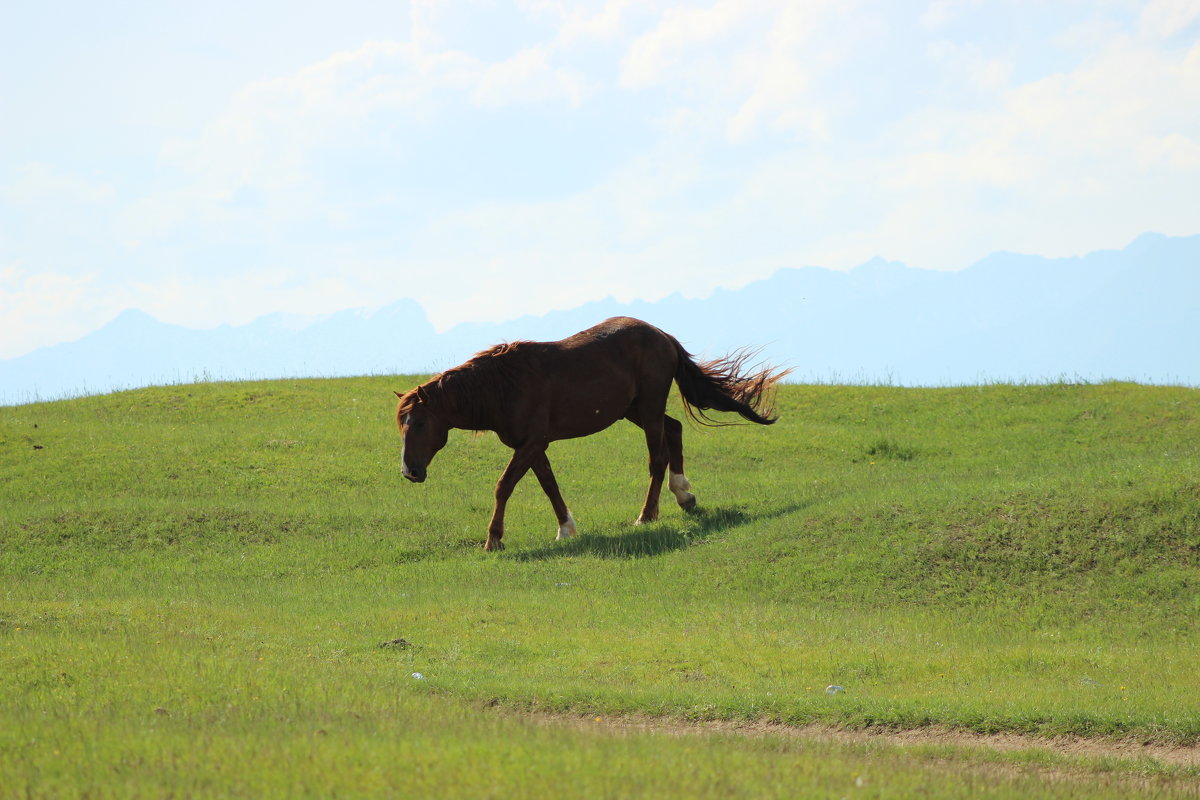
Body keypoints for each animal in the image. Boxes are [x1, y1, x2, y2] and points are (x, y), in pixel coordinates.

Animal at [393, 316, 787, 554]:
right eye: (402, 424)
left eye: (421, 423)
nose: (410, 472)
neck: (504, 386)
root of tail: (662, 335)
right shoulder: (532, 446)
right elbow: (549, 485)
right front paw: (565, 529)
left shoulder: (532, 443)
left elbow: (504, 485)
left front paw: (493, 540)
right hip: (635, 410)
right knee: (674, 430)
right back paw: (684, 495)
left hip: (647, 408)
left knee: (657, 458)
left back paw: (647, 515)